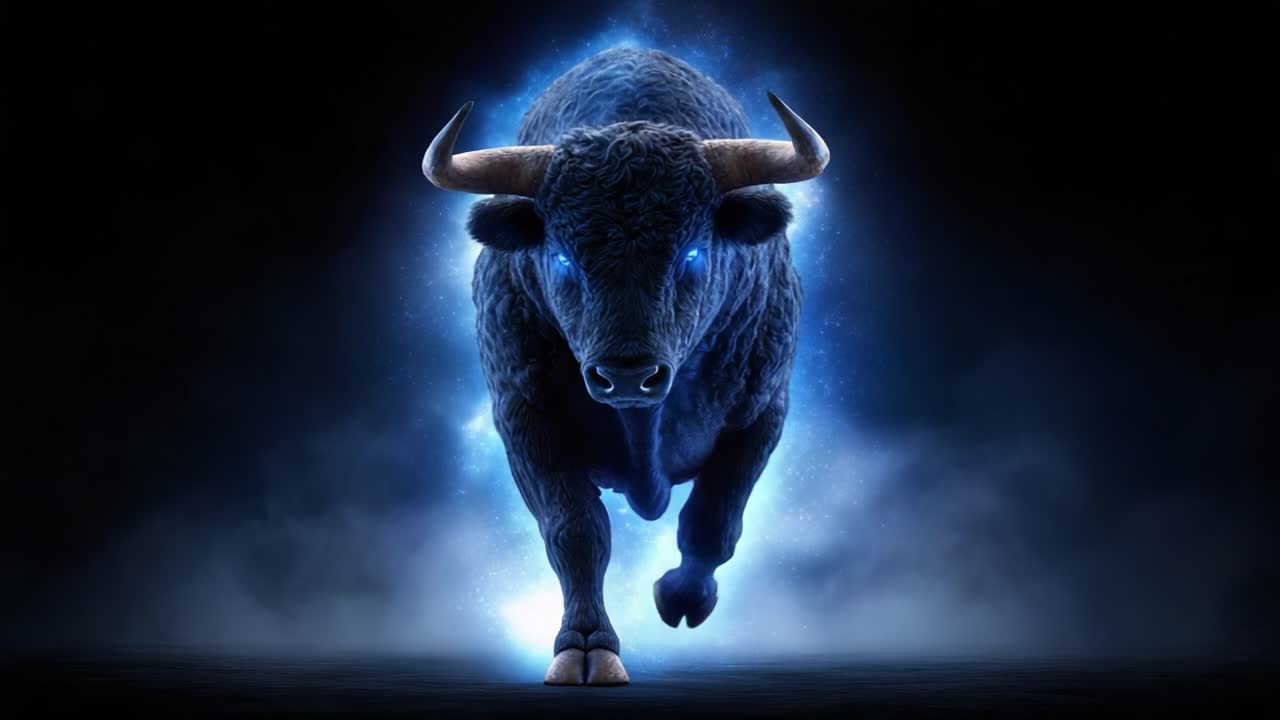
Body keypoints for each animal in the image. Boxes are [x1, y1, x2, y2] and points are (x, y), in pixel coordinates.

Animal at [421, 47, 827, 685]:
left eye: (693, 254)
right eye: (562, 258)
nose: (628, 376)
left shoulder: (762, 411)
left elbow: (713, 520)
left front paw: (682, 598)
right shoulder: (523, 418)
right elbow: (576, 531)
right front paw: (585, 646)